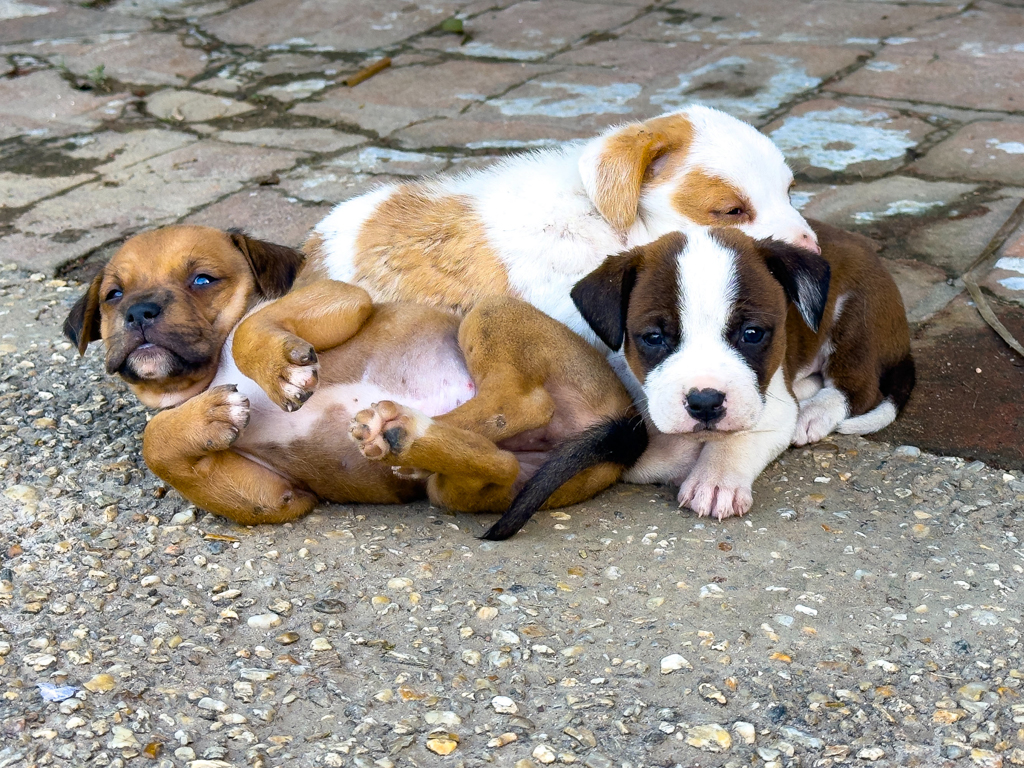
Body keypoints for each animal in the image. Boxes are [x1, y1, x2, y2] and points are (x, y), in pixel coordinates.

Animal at [573, 222, 917, 524]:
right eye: (654, 337)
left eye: (752, 334)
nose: (705, 403)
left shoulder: (771, 405)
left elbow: (741, 434)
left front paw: (715, 478)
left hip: (857, 316)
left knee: (859, 389)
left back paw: (813, 413)